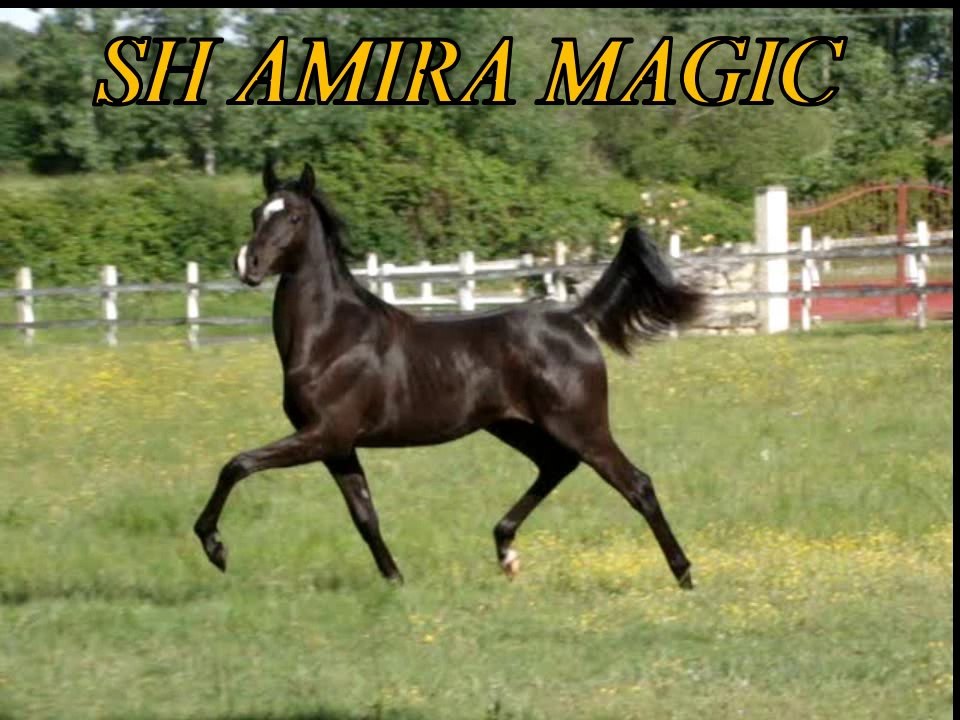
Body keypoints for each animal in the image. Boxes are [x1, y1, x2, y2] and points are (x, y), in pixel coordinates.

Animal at [193, 161, 704, 589]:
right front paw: (395, 580)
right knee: (556, 465)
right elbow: (365, 515)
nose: (247, 265)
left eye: (294, 217)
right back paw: (505, 550)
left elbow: (237, 464)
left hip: (581, 425)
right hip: (516, 426)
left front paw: (214, 547)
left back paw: (683, 575)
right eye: (257, 212)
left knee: (637, 484)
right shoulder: (338, 446)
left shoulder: (322, 434)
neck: (331, 337)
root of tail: (574, 317)